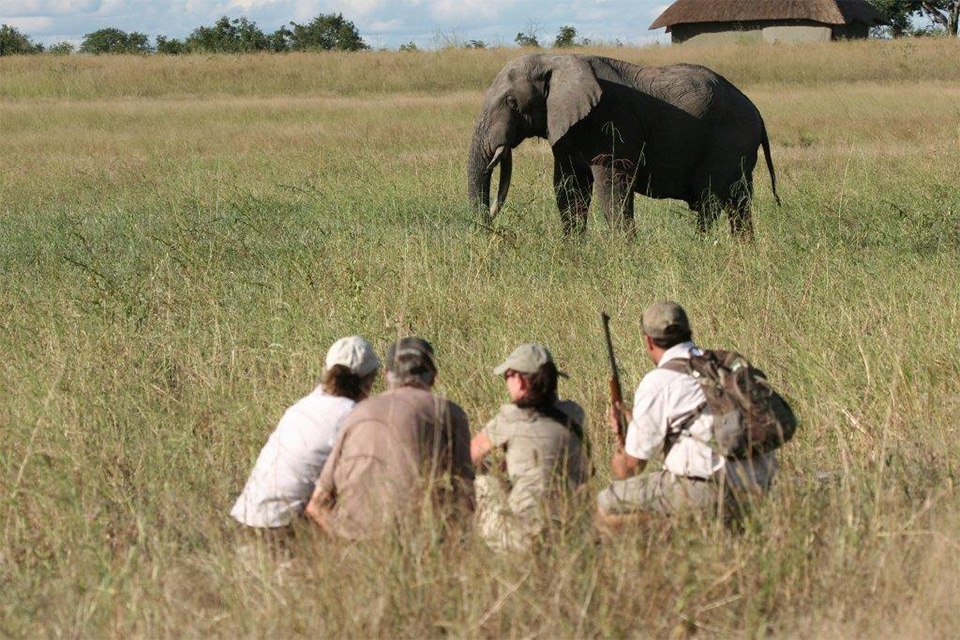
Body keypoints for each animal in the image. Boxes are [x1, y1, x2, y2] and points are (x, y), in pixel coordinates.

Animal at [466, 53, 780, 238]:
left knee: (710, 200)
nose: (490, 230)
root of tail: (757, 112)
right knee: (739, 202)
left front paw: (624, 256)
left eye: (512, 103)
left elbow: (612, 189)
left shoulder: (613, 122)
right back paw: (742, 252)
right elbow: (569, 189)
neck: (555, 60)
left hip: (728, 142)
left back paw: (702, 248)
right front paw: (573, 254)